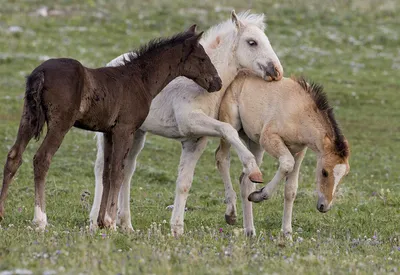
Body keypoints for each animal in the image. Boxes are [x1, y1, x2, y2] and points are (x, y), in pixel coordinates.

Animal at [0, 24, 222, 230]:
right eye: (202, 58)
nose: (217, 82)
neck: (140, 80)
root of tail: (41, 72)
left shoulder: (108, 132)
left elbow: (106, 173)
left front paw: (101, 222)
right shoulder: (125, 129)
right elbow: (117, 172)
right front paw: (111, 222)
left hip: (28, 118)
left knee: (14, 156)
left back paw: (2, 213)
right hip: (60, 124)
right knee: (42, 159)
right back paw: (40, 220)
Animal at [89, 10, 282, 235]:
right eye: (252, 42)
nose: (277, 71)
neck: (197, 86)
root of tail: (111, 65)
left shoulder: (195, 140)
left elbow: (184, 182)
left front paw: (177, 229)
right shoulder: (190, 122)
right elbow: (228, 130)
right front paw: (253, 169)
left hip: (136, 134)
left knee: (126, 170)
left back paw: (126, 224)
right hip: (110, 133)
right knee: (102, 168)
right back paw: (94, 222)